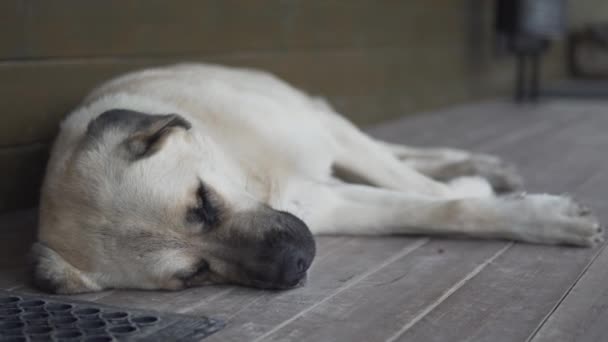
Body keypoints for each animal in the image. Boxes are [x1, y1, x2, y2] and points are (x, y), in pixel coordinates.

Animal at [33, 63, 604, 294]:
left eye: (204, 202)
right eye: (192, 275)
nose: (295, 263)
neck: (255, 177)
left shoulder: (331, 139)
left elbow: (431, 193)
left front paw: (527, 205)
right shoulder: (328, 204)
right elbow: (443, 209)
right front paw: (531, 213)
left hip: (328, 122)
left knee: (399, 154)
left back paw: (478, 167)